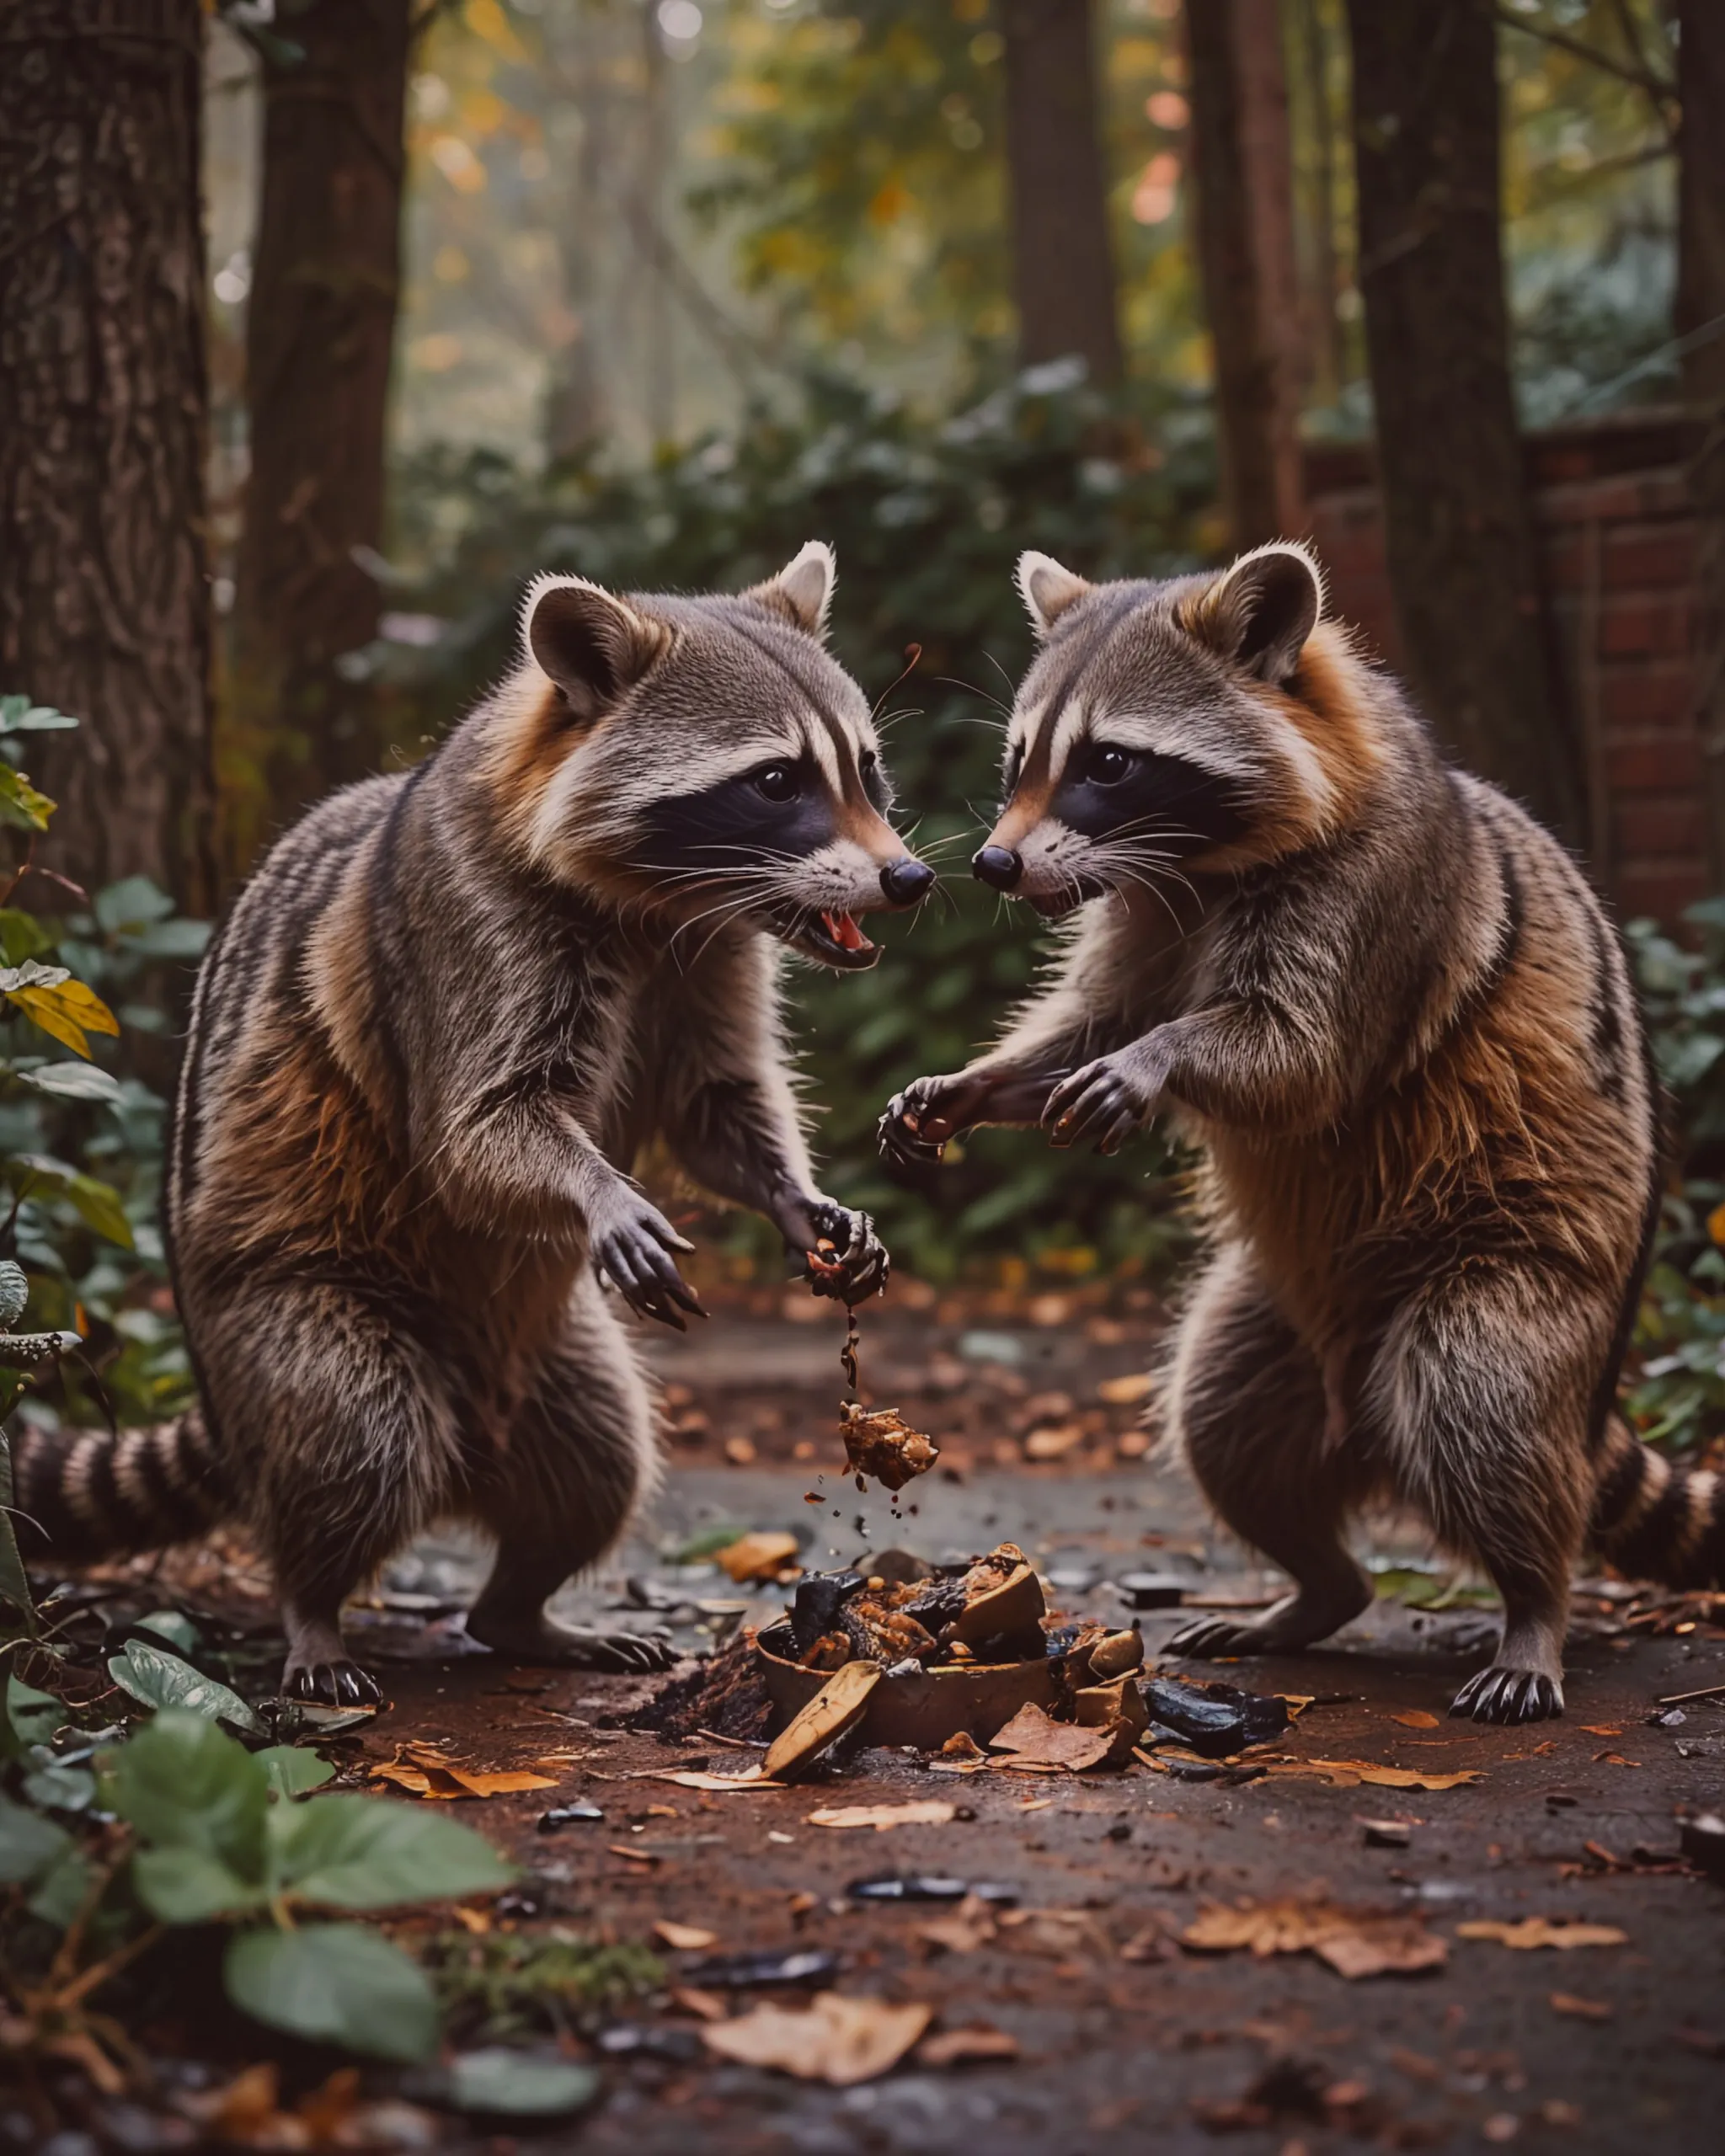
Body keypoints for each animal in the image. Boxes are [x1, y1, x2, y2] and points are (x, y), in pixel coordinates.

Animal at [17, 543, 934, 1703]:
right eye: (776, 782)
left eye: (865, 767)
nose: (909, 877)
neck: (662, 908)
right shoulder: (467, 927)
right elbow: (471, 1135)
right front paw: (597, 1189)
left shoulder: (710, 954)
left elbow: (715, 1105)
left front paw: (796, 1195)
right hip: (278, 1314)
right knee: (355, 1435)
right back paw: (313, 1606)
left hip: (553, 1359)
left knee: (599, 1461)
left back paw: (520, 1611)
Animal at [881, 541, 1720, 1723]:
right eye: (1019, 761)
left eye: (1107, 763)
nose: (994, 866)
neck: (1198, 861)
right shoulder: (1145, 904)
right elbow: (1091, 1019)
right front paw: (977, 1083)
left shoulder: (1379, 897)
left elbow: (1300, 1059)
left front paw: (1161, 1057)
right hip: (1273, 1317)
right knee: (1221, 1420)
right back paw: (1317, 1587)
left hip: (1527, 1275)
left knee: (1479, 1402)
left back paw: (1533, 1603)